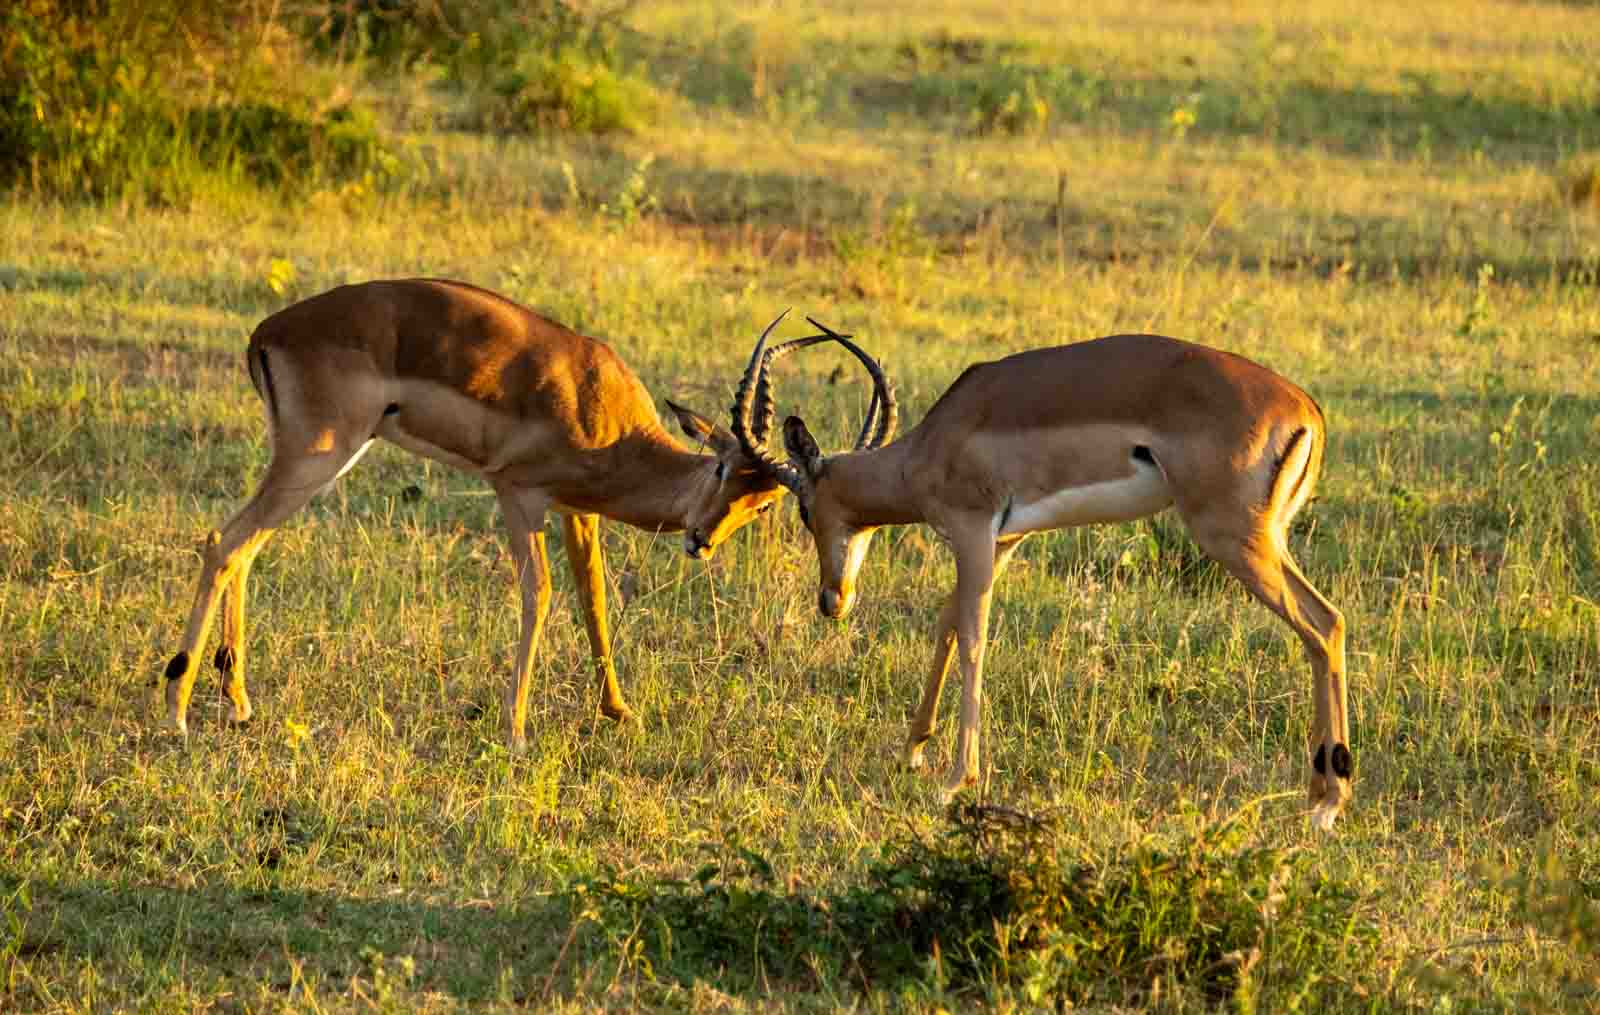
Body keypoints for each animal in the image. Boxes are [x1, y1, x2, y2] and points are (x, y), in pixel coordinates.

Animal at [161, 278, 831, 752]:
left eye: (761, 502)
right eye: (722, 470)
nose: (701, 540)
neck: (607, 418)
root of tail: (266, 332)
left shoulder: (576, 512)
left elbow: (593, 599)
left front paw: (619, 711)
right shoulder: (518, 494)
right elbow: (539, 594)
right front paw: (515, 732)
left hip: (313, 458)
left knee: (246, 548)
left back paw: (238, 702)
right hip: (319, 455)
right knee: (225, 541)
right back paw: (177, 712)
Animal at [734, 320, 1351, 830]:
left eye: (804, 509)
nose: (831, 599)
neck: (932, 445)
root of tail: (1307, 411)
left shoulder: (973, 531)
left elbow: (973, 640)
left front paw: (956, 781)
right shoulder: (1001, 543)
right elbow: (947, 624)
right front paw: (911, 749)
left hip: (1232, 538)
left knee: (1324, 623)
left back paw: (1329, 802)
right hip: (1261, 541)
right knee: (1327, 628)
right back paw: (1318, 792)